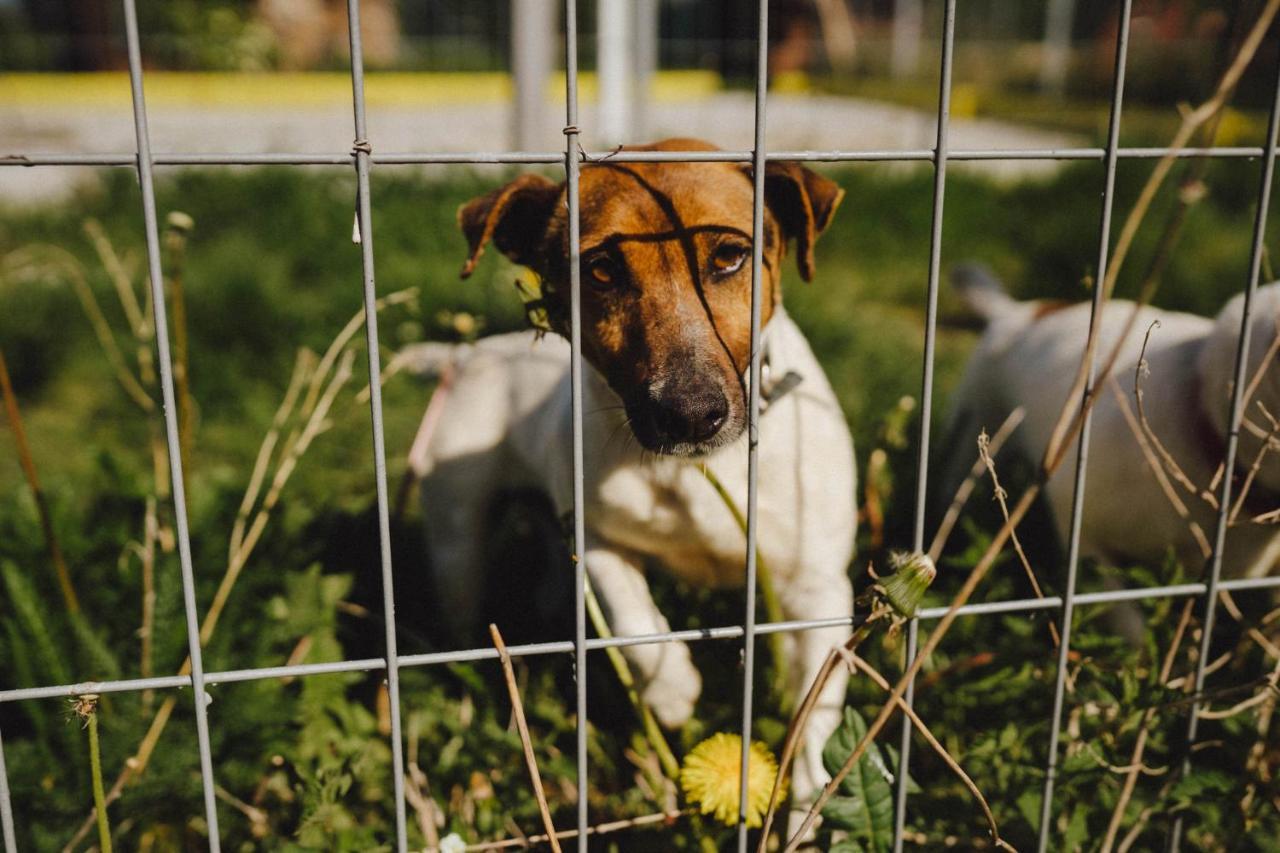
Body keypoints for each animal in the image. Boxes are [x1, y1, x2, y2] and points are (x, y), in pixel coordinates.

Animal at [399, 139, 855, 819]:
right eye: (601, 270)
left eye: (730, 255)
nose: (690, 412)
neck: (696, 470)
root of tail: (469, 353)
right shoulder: (599, 541)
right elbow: (635, 624)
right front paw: (671, 691)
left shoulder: (817, 589)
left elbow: (817, 706)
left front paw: (805, 802)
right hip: (459, 541)